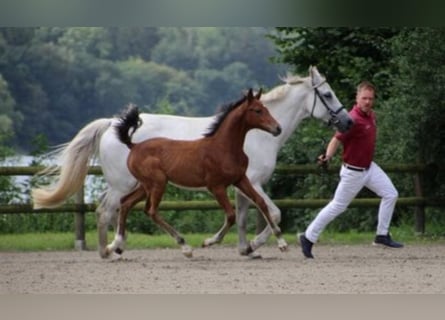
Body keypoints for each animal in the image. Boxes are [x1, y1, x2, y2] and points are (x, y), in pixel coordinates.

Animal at [31, 66, 352, 258]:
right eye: (327, 94)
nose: (347, 122)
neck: (252, 136)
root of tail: (112, 124)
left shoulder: (242, 184)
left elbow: (245, 216)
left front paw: (246, 248)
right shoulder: (252, 182)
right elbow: (273, 212)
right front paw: (252, 244)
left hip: (134, 184)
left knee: (114, 208)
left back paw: (117, 247)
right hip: (125, 183)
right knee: (106, 210)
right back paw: (109, 249)